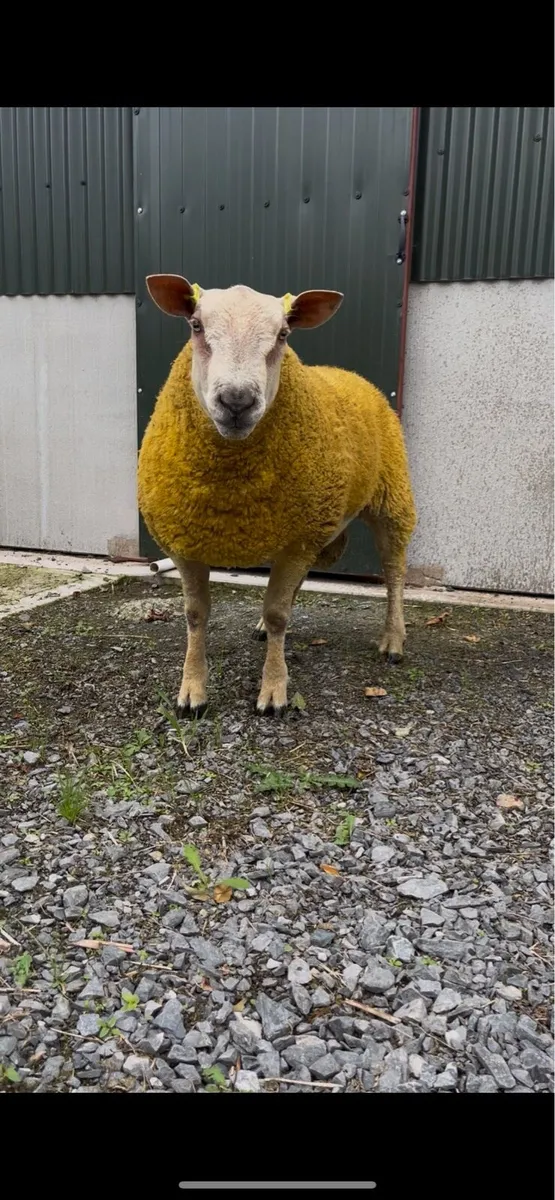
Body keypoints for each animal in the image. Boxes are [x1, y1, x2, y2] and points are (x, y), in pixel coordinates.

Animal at [138, 275, 416, 716]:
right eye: (196, 325)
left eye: (283, 334)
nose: (237, 401)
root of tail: (349, 374)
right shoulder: (186, 541)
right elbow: (196, 615)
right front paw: (192, 691)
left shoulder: (298, 539)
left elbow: (278, 615)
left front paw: (273, 692)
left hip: (390, 501)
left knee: (393, 571)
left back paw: (393, 640)